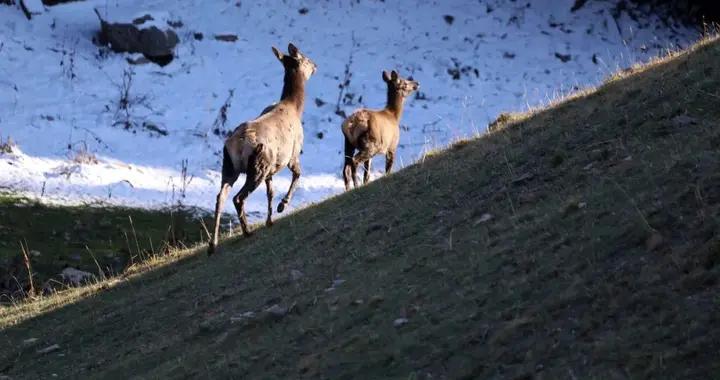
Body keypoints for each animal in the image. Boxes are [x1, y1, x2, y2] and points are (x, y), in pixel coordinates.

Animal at [210, 43, 320, 254]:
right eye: (306, 58)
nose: (316, 65)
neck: (295, 108)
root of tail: (236, 145)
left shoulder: (272, 168)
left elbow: (270, 192)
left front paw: (269, 221)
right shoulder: (293, 154)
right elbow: (297, 175)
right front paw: (282, 206)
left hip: (230, 166)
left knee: (221, 197)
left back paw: (213, 245)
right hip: (257, 166)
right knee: (238, 198)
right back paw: (247, 231)